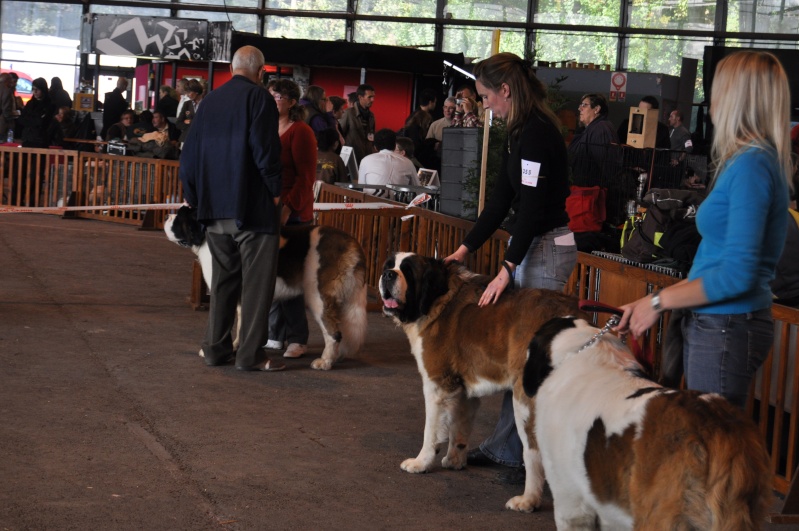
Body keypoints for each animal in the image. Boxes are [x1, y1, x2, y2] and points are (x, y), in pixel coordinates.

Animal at [166, 206, 372, 372]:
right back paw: (338, 356)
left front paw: (211, 350)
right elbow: (241, 323)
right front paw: (235, 347)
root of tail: (352, 243)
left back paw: (325, 362)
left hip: (318, 297)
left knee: (333, 332)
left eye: (180, 216)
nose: (168, 215)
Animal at [378, 254, 584, 516]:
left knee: (533, 452)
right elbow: (459, 426)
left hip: (525, 401)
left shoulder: (437, 384)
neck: (437, 298)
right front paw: (455, 460)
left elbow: (431, 430)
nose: (387, 275)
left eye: (407, 270)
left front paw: (421, 462)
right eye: (389, 266)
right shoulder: (464, 389)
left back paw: (528, 500)